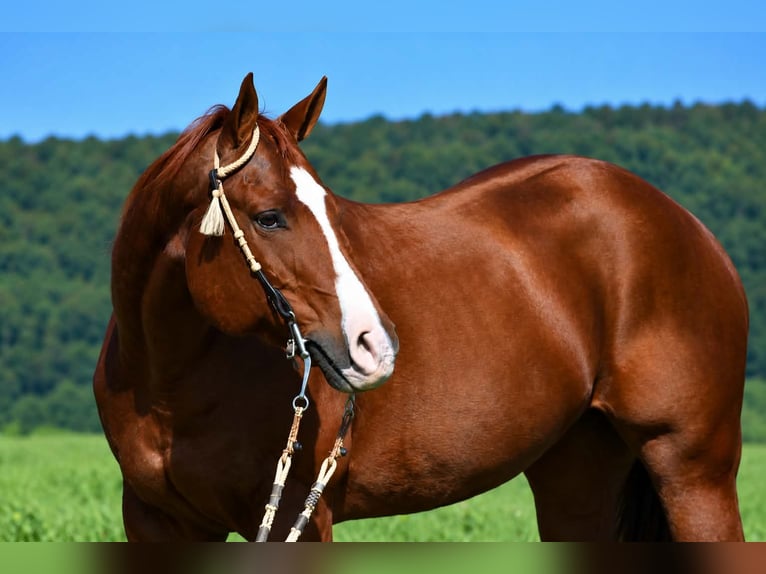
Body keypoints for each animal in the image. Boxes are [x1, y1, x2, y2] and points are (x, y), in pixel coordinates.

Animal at [94, 73, 749, 541]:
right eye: (269, 216)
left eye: (333, 207)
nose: (375, 344)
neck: (171, 383)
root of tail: (689, 227)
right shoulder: (157, 523)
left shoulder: (295, 520)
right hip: (579, 474)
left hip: (694, 473)